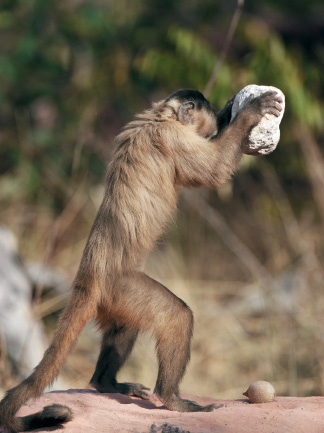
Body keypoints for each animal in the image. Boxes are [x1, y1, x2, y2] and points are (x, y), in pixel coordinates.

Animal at [0, 88, 282, 432]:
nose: (219, 117)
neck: (161, 117)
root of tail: (88, 274)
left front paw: (232, 108)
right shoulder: (173, 137)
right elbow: (215, 173)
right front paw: (249, 111)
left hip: (113, 299)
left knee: (125, 327)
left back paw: (106, 383)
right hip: (120, 286)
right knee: (176, 317)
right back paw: (171, 398)